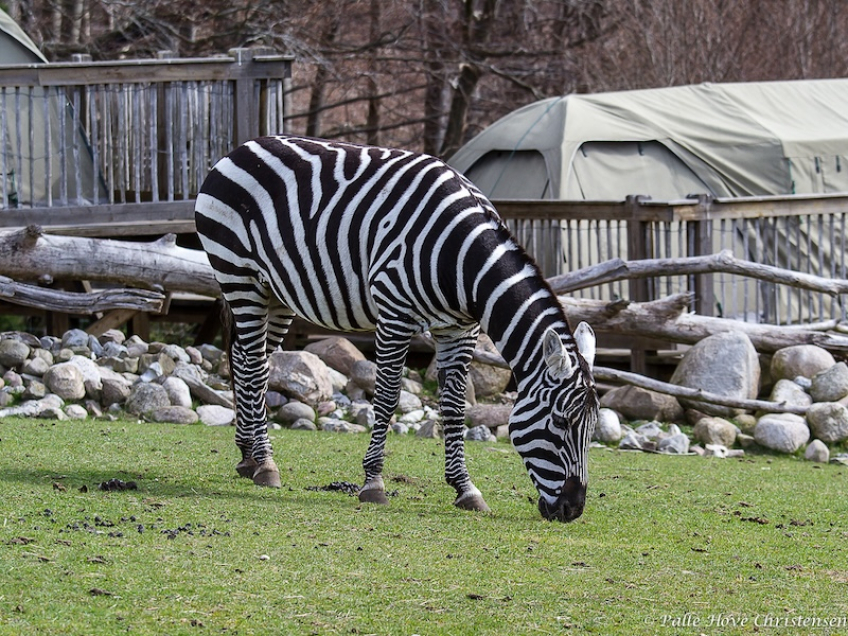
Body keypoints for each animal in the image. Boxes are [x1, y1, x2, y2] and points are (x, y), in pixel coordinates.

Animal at [194, 135, 600, 522]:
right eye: (560, 422)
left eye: (592, 426)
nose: (573, 510)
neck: (461, 261)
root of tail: (243, 146)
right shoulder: (394, 313)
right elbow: (387, 398)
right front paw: (373, 484)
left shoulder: (460, 330)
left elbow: (455, 407)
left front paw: (465, 489)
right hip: (239, 277)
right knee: (254, 366)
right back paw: (265, 463)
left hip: (275, 293)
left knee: (249, 360)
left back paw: (248, 456)